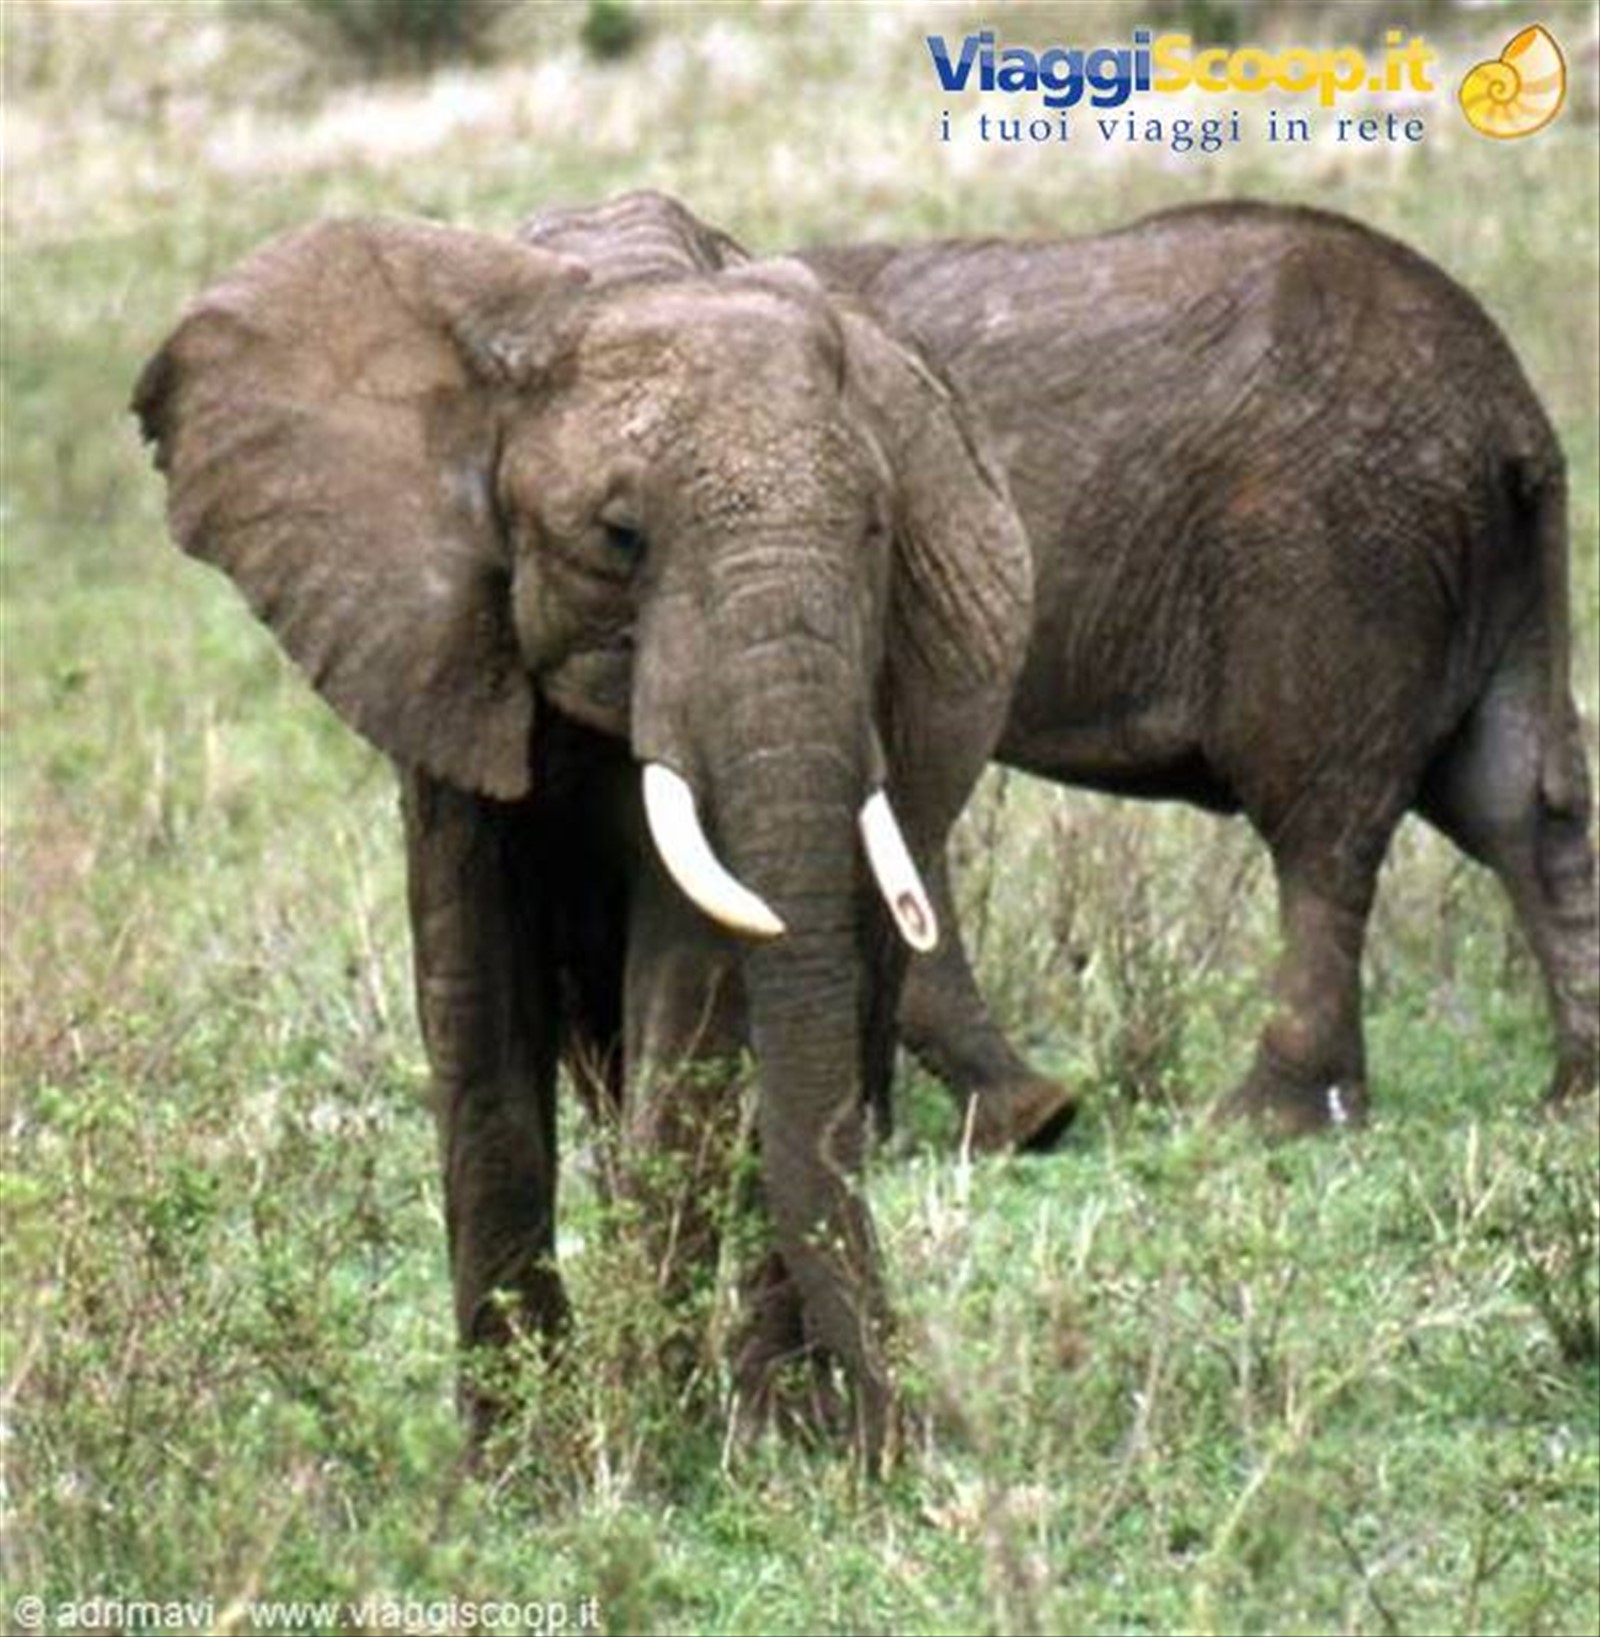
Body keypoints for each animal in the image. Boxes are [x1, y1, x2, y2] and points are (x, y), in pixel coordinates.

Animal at [131, 191, 1037, 1466]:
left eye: (874, 529)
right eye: (619, 536)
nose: (910, 1431)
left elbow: (693, 999)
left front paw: (652, 1456)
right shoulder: (435, 643)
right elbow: (475, 1000)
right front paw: (520, 1469)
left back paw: (774, 1421)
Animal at [800, 200, 1598, 1137]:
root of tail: (1515, 416)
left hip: (1330, 556)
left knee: (1323, 819)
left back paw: (1265, 1120)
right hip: (1487, 572)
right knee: (1512, 805)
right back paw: (1572, 1096)